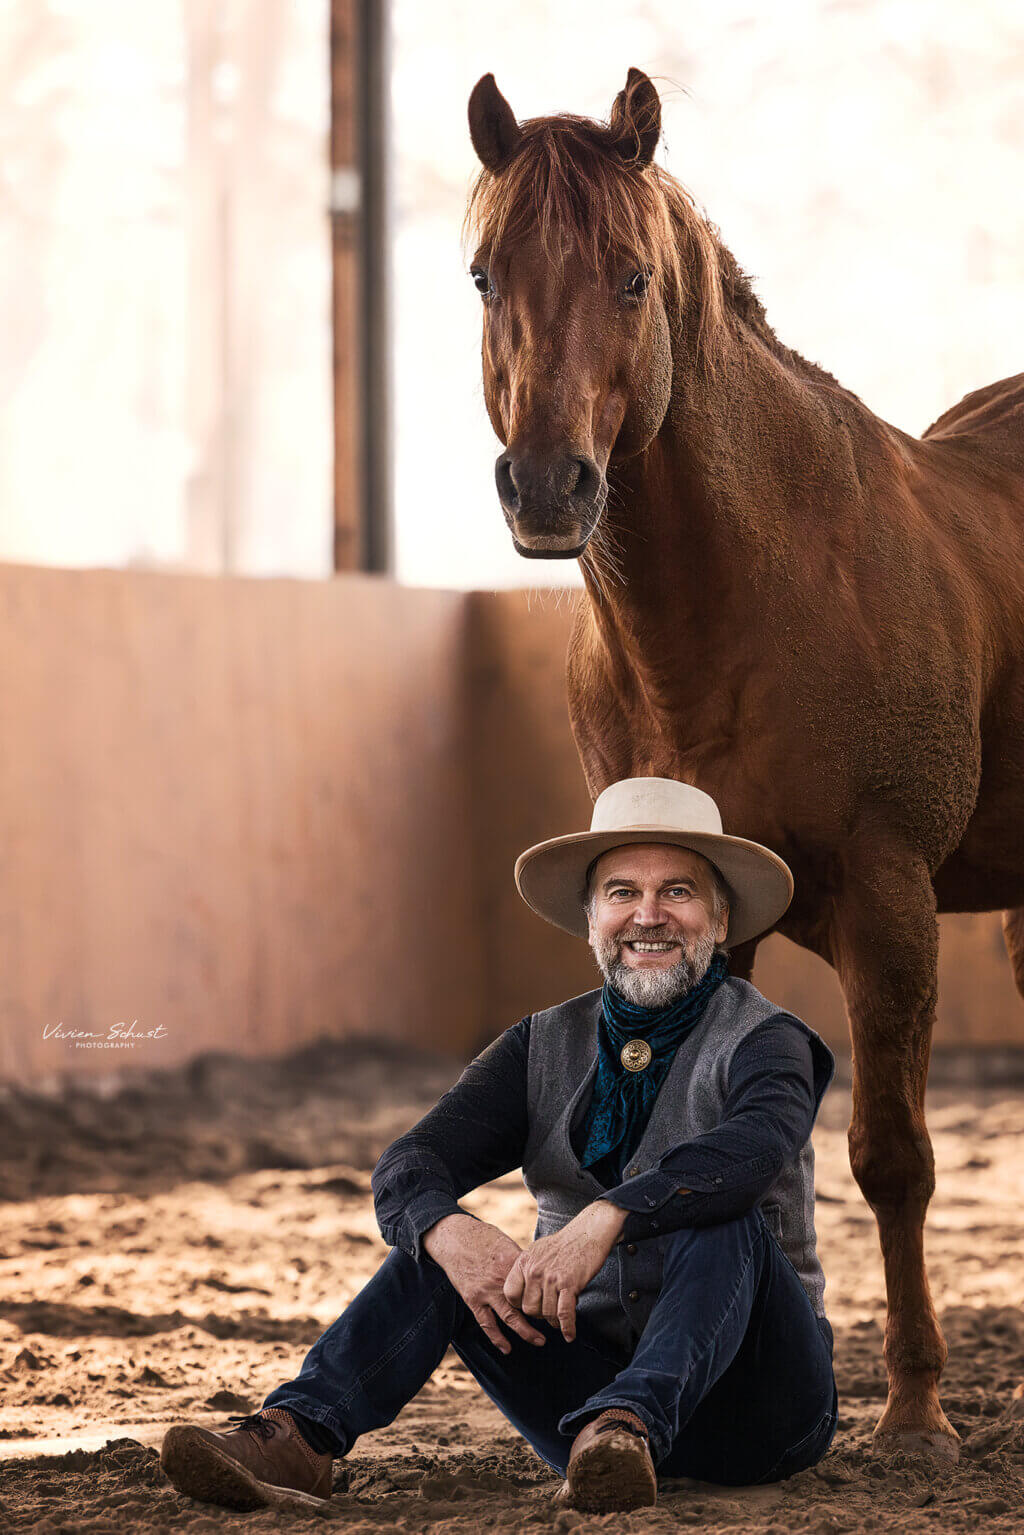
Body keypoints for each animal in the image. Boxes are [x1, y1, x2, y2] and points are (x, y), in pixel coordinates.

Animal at [469, 69, 1024, 1461]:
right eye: (486, 275)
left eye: (629, 277)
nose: (548, 485)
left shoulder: (890, 900)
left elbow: (892, 1155)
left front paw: (914, 1414)